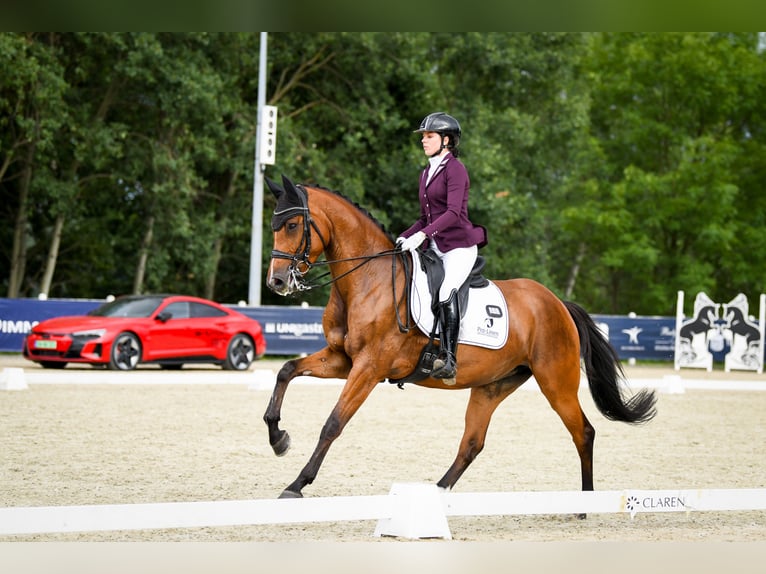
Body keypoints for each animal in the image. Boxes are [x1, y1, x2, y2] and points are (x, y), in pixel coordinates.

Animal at [263, 175, 657, 501]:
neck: (367, 279)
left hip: (556, 382)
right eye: (274, 226)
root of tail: (558, 303)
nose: (277, 282)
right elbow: (287, 370)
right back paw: (432, 497)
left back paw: (584, 504)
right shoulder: (342, 359)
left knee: (583, 432)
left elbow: (333, 423)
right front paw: (278, 439)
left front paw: (296, 484)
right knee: (472, 443)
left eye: (293, 225)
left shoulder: (369, 367)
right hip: (493, 385)